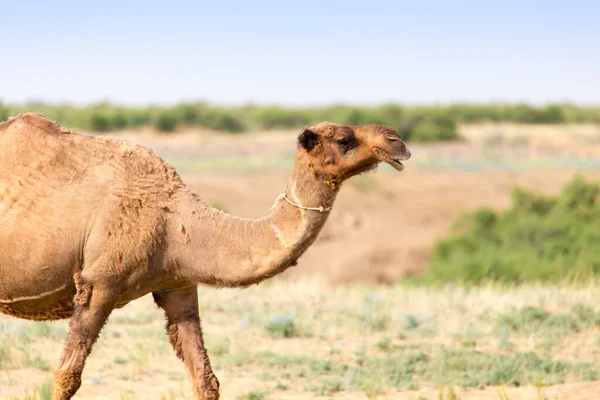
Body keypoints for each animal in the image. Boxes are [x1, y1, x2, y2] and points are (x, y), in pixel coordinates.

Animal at [0, 113, 412, 400]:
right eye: (344, 138)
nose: (398, 142)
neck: (172, 219)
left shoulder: (177, 282)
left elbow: (205, 379)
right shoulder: (99, 283)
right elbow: (66, 377)